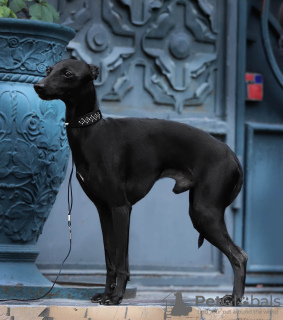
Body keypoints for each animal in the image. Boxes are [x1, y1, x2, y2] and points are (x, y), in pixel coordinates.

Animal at [34, 59, 248, 304]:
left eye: (68, 73)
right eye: (48, 70)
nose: (37, 86)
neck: (91, 132)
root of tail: (232, 156)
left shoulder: (121, 207)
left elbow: (120, 261)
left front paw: (116, 297)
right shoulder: (104, 210)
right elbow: (111, 260)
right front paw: (106, 294)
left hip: (205, 213)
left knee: (239, 256)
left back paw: (235, 299)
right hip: (199, 211)